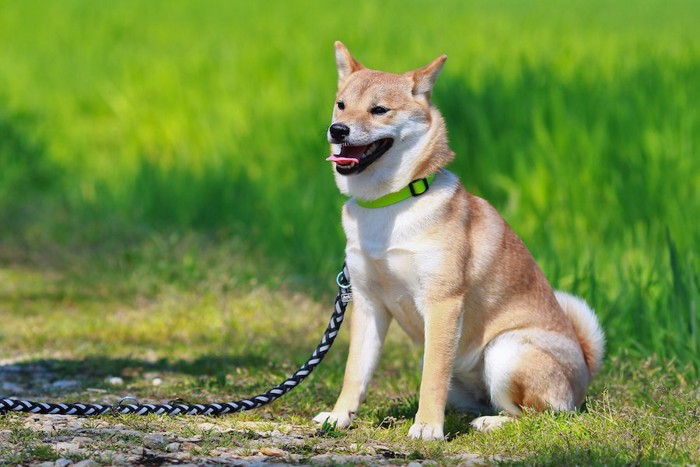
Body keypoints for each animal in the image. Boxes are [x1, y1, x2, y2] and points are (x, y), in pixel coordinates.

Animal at [314, 42, 604, 440]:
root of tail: (585, 372)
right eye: (341, 104)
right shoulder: (368, 304)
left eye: (379, 110)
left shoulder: (443, 304)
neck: (391, 203)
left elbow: (431, 379)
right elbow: (354, 373)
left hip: (505, 350)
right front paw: (338, 417)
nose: (337, 130)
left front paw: (427, 428)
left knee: (538, 414)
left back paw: (491, 423)